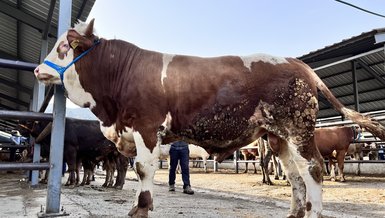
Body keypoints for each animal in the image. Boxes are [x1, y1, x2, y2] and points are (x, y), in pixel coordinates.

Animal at [32, 19, 384, 217]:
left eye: (65, 46)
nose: (37, 70)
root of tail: (300, 64)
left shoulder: (146, 126)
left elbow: (143, 169)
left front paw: (140, 208)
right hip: (277, 136)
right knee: (295, 175)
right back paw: (294, 214)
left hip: (298, 129)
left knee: (313, 170)